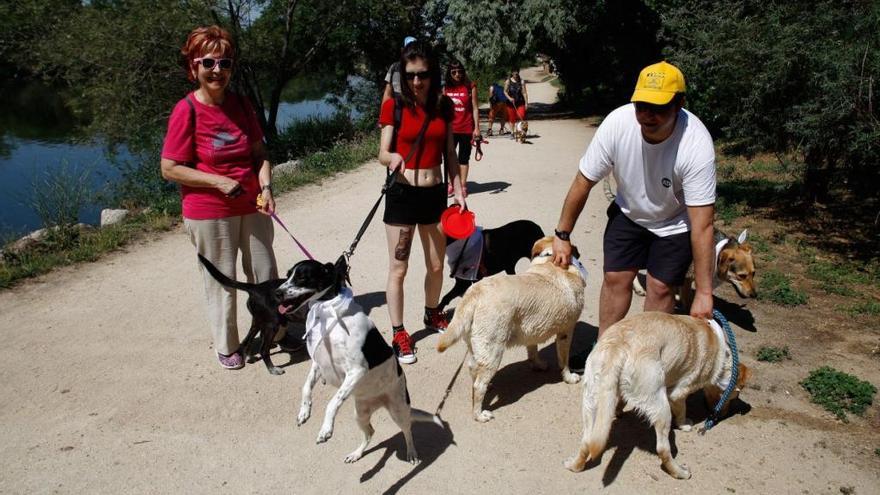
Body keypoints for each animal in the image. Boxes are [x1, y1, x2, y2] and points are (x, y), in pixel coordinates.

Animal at [280, 260, 444, 464]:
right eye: (287, 275)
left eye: (302, 276)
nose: (277, 292)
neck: (328, 311)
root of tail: (379, 403)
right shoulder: (319, 363)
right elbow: (306, 387)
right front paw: (304, 411)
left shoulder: (357, 370)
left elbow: (332, 402)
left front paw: (326, 428)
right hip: (360, 414)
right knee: (370, 432)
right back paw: (356, 454)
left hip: (398, 411)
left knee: (407, 430)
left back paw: (412, 453)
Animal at [436, 236, 588, 422]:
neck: (550, 262)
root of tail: (475, 293)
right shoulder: (567, 330)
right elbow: (564, 360)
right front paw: (568, 377)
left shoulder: (532, 328)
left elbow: (533, 350)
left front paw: (537, 364)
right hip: (494, 350)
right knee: (479, 385)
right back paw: (479, 414)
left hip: (475, 346)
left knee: (473, 369)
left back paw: (486, 386)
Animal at [564, 314, 748, 480]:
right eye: (733, 397)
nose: (722, 415)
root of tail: (618, 345)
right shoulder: (678, 393)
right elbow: (682, 411)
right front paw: (685, 424)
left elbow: (620, 401)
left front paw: (618, 411)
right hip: (661, 407)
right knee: (663, 450)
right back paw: (680, 472)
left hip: (590, 401)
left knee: (587, 441)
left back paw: (575, 466)